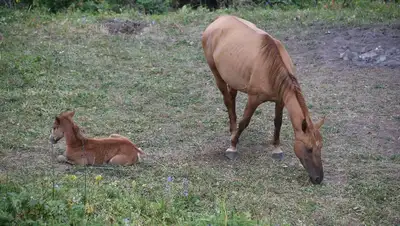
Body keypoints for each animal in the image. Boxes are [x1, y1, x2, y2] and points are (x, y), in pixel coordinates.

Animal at [202, 15, 326, 185]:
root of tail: (219, 20)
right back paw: (233, 132)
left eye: (321, 147)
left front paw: (276, 148)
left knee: (232, 98)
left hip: (234, 79)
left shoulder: (280, 100)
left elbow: (278, 122)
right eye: (309, 149)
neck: (271, 67)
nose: (318, 178)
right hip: (217, 74)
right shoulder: (253, 99)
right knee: (227, 100)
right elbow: (245, 121)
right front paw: (232, 147)